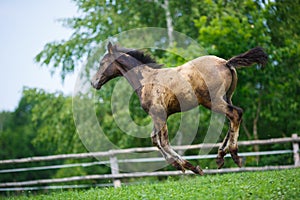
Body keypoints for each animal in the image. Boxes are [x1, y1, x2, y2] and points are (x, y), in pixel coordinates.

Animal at [91, 43, 268, 174]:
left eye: (101, 63)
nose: (94, 82)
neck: (147, 80)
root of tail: (225, 62)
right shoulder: (158, 116)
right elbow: (155, 140)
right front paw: (182, 165)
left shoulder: (159, 114)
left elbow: (163, 142)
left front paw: (190, 167)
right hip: (226, 97)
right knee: (233, 118)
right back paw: (220, 156)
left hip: (213, 101)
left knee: (235, 114)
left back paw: (234, 155)